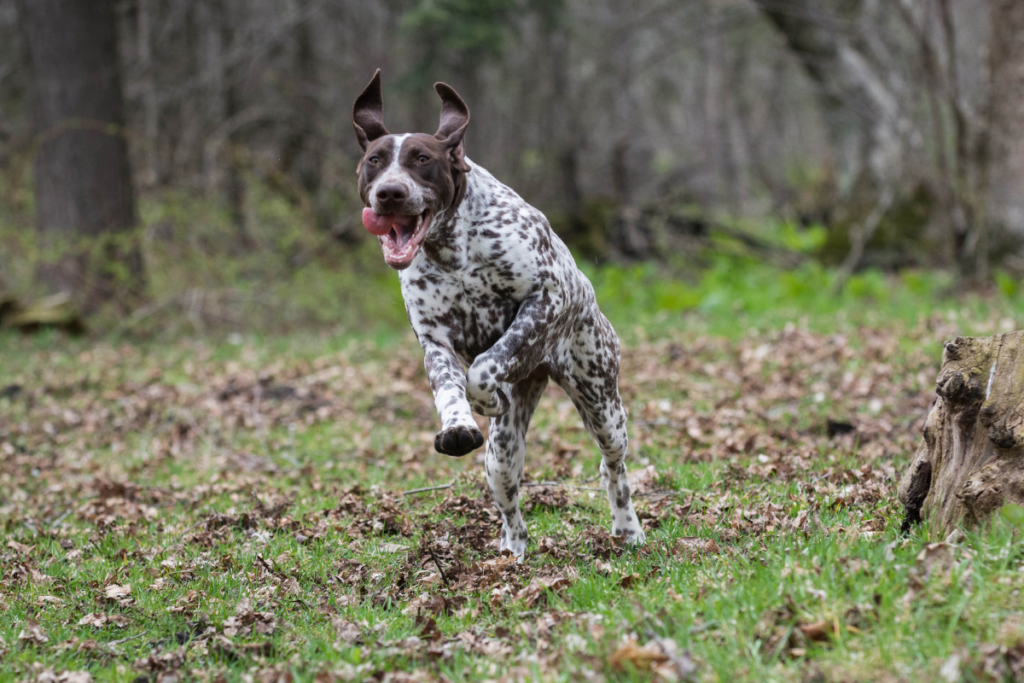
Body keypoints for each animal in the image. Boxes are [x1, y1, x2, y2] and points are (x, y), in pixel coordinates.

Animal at [350, 70, 638, 561]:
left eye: (422, 159)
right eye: (375, 160)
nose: (390, 193)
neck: (453, 250)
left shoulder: (545, 300)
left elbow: (485, 367)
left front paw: (487, 397)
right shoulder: (436, 342)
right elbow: (451, 389)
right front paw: (460, 424)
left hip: (601, 402)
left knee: (612, 466)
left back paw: (627, 529)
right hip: (501, 457)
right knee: (511, 502)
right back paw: (513, 552)